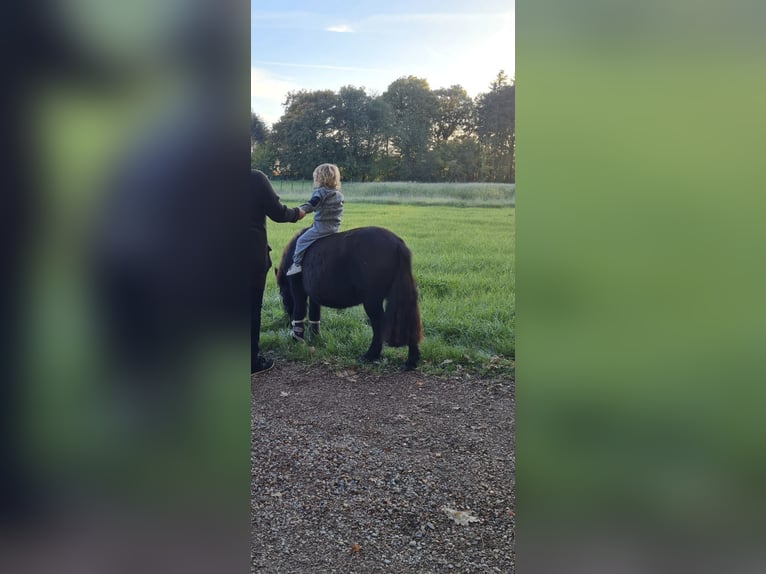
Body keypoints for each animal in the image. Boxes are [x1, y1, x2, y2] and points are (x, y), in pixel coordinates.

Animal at [278, 227, 426, 372]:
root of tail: (397, 244)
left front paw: (297, 339)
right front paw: (314, 337)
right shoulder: (314, 297)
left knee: (379, 325)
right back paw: (411, 361)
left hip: (372, 302)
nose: (288, 323)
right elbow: (314, 315)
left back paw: (371, 355)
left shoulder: (299, 291)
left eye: (283, 298)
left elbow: (300, 311)